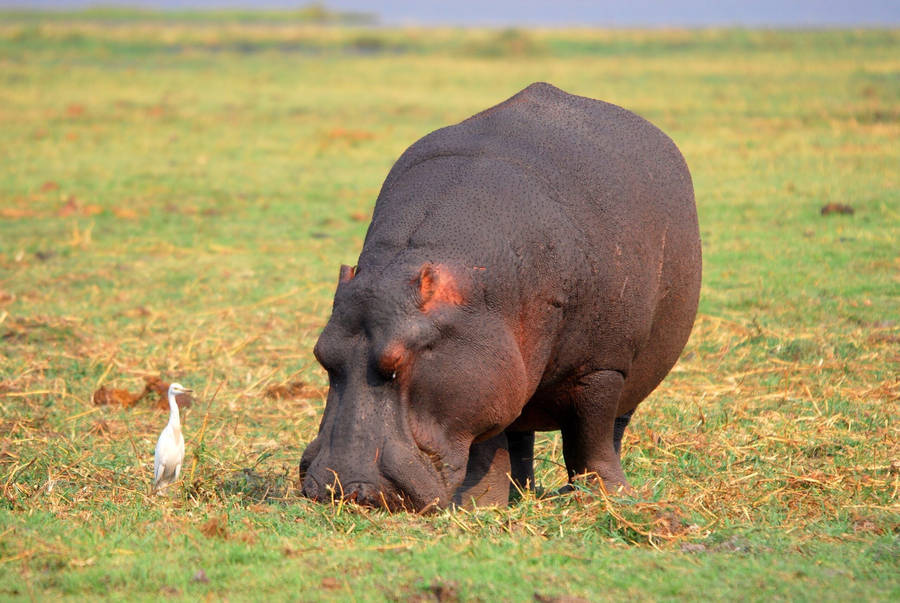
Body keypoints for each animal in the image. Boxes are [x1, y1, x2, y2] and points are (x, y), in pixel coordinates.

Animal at [299, 82, 701, 511]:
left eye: (397, 363)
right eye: (321, 355)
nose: (343, 490)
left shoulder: (600, 368)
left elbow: (589, 437)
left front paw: (606, 497)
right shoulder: (482, 370)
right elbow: (488, 448)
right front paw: (481, 505)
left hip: (630, 371)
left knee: (613, 428)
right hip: (516, 371)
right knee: (518, 435)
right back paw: (518, 494)